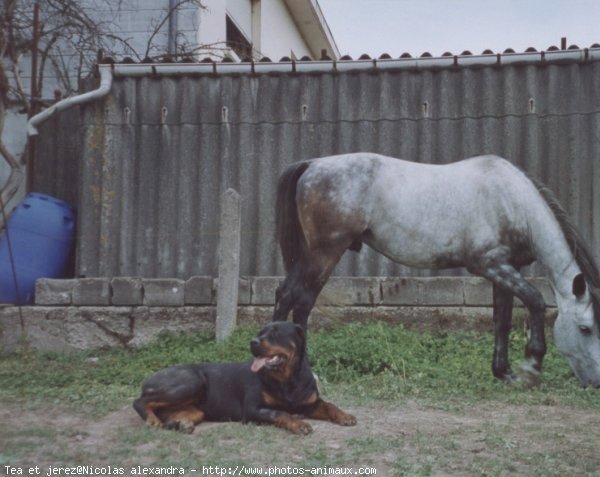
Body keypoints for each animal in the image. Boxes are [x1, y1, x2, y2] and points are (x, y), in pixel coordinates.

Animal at [132, 322, 356, 434]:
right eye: (260, 332)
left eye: (275, 333)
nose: (253, 341)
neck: (287, 379)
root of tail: (148, 379)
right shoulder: (252, 409)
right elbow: (280, 413)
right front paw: (298, 424)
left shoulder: (309, 404)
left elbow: (329, 405)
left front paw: (345, 416)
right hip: (192, 382)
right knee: (140, 401)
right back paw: (152, 420)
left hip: (195, 409)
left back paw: (180, 424)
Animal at [272, 152, 600, 386]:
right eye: (585, 328)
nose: (595, 383)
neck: (509, 200)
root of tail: (312, 165)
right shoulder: (491, 265)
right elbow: (535, 301)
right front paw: (530, 368)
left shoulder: (506, 268)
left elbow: (502, 319)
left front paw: (504, 372)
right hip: (323, 256)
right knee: (302, 303)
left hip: (309, 257)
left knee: (285, 295)